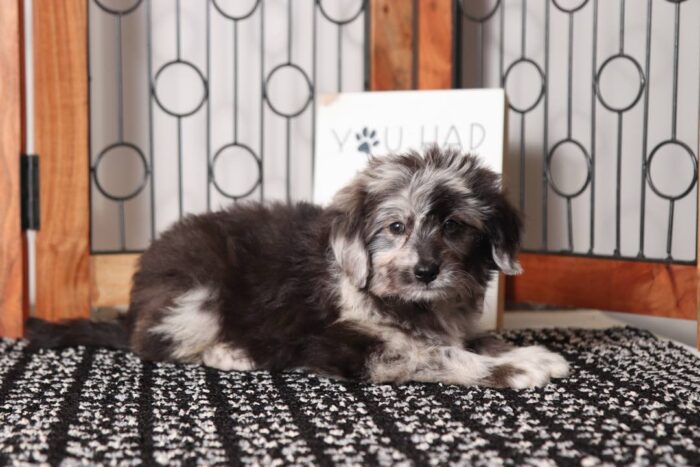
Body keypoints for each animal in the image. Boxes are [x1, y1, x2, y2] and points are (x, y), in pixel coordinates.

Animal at [30, 148, 572, 390]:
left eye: (455, 226)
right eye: (396, 226)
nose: (425, 271)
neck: (404, 303)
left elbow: (473, 339)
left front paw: (527, 350)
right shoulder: (353, 348)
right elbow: (441, 355)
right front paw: (519, 367)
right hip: (196, 294)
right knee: (154, 343)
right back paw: (232, 352)